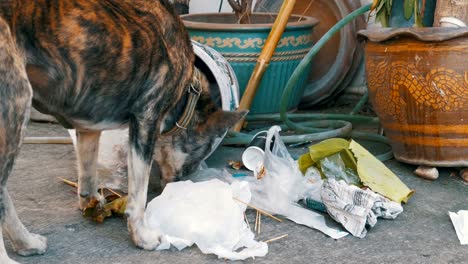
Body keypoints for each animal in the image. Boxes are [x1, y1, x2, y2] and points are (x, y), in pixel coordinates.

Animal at [0, 0, 243, 262]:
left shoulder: (88, 124)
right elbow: (138, 195)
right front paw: (142, 236)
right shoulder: (146, 119)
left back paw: (26, 242)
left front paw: (91, 200)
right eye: (196, 158)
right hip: (16, 108)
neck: (187, 93)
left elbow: (88, 169)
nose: (179, 183)